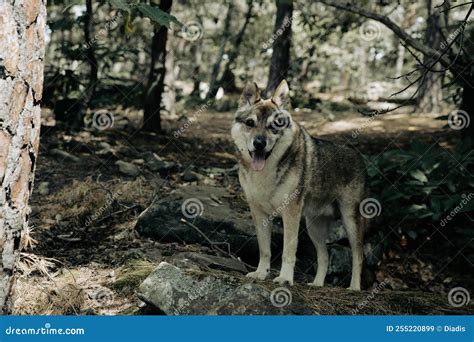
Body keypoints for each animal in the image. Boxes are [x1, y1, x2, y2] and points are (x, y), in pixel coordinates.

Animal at [231, 81, 366, 292]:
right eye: (250, 123)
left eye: (274, 126)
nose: (259, 143)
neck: (265, 172)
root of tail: (359, 156)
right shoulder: (258, 213)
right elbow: (264, 249)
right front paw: (261, 273)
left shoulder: (290, 213)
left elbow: (288, 251)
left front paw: (285, 279)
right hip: (313, 228)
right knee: (324, 256)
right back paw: (317, 284)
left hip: (350, 222)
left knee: (358, 255)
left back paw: (354, 288)